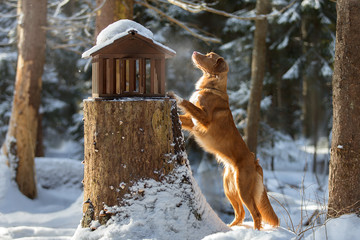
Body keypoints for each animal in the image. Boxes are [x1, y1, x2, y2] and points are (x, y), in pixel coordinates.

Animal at [168, 51, 278, 230]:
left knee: (256, 214)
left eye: (209, 56)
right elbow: (184, 115)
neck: (211, 88)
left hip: (243, 189)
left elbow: (188, 103)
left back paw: (254, 231)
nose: (194, 52)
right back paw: (230, 228)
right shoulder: (193, 122)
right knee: (240, 213)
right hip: (229, 188)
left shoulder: (204, 117)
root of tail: (255, 162)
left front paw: (174, 95)